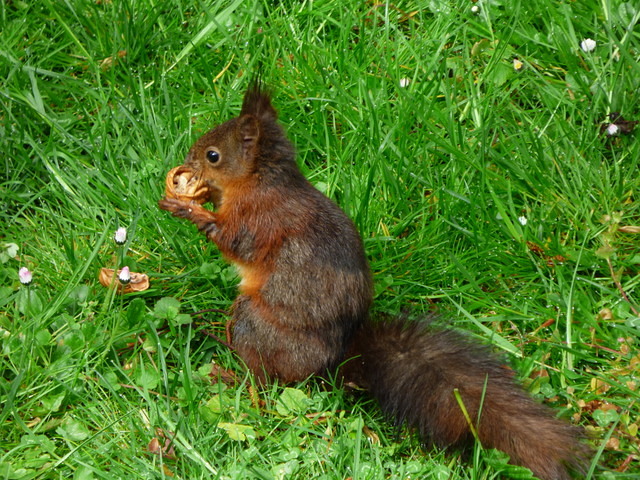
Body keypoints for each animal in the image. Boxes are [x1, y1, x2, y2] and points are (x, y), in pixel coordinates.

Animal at [158, 84, 589, 480]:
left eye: (213, 156)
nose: (187, 162)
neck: (260, 181)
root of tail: (334, 363)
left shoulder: (260, 219)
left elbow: (236, 242)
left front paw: (189, 209)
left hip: (254, 324)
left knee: (264, 378)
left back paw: (229, 371)